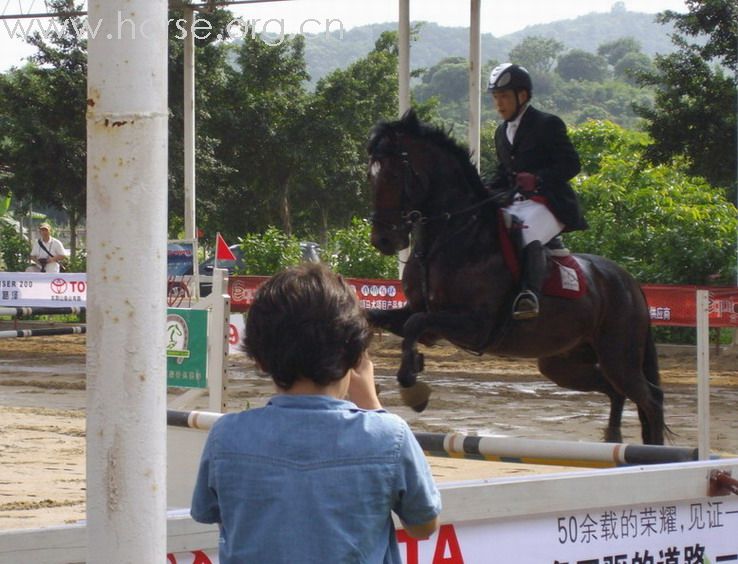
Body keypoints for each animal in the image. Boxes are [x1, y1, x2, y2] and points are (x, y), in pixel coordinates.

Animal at [366, 110, 664, 446]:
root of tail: (630, 282)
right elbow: (378, 318)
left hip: (618, 356)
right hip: (563, 363)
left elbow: (416, 325)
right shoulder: (420, 315)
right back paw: (613, 438)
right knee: (614, 390)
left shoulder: (475, 325)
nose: (383, 240)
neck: (449, 238)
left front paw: (412, 386)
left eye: (393, 176)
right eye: (370, 176)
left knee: (651, 399)